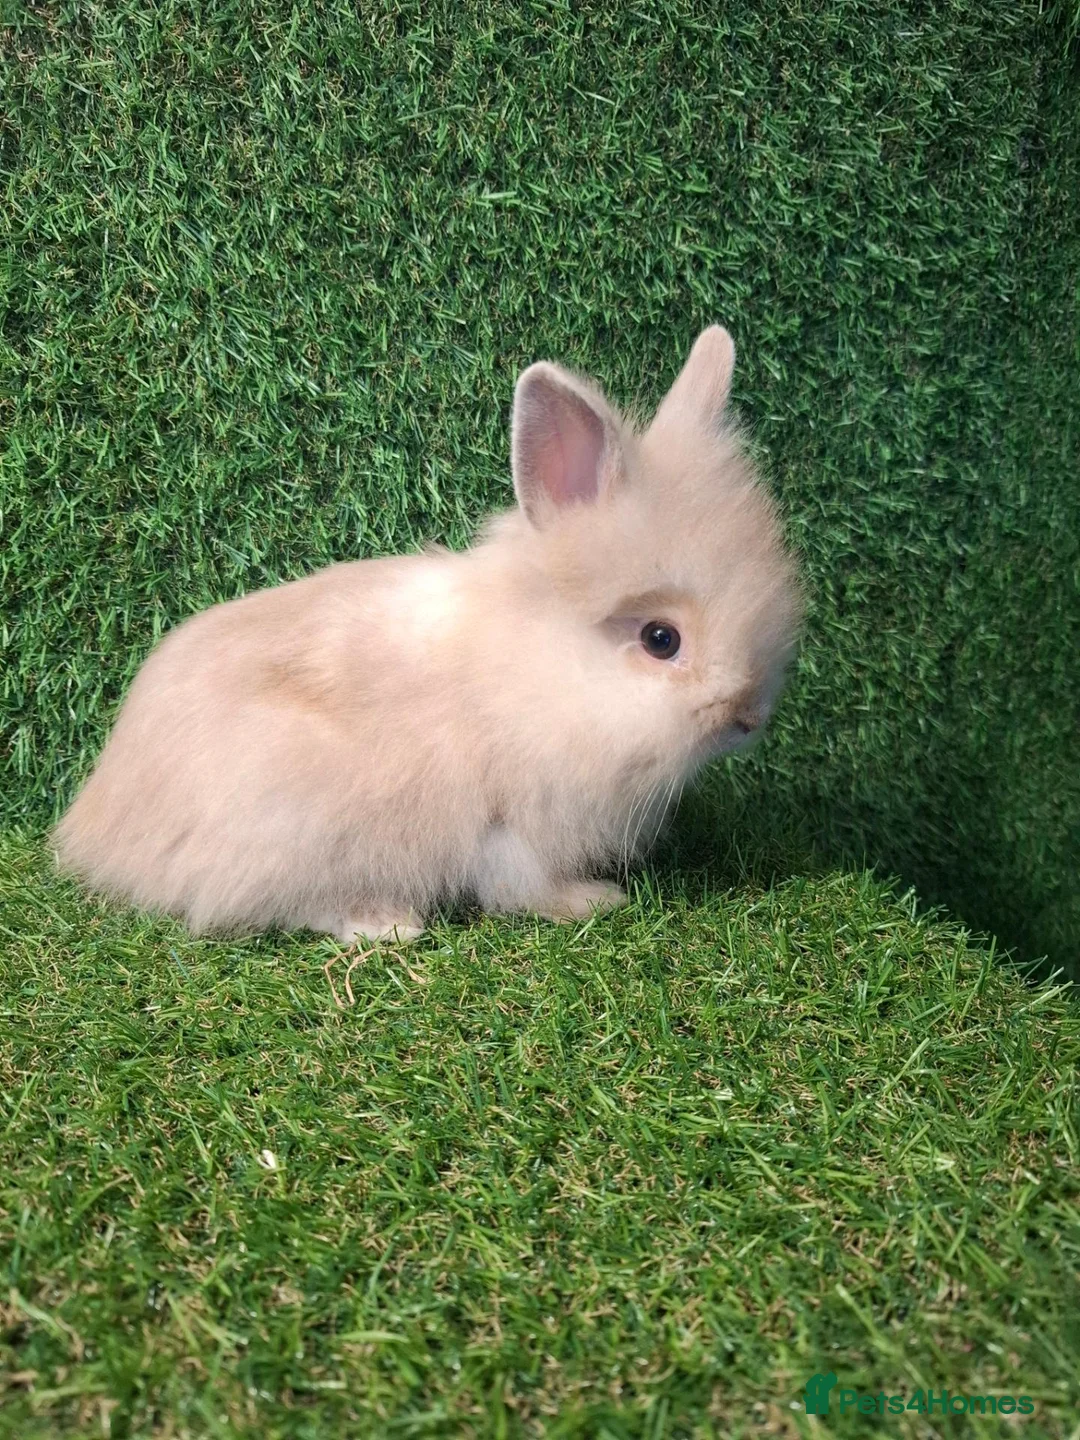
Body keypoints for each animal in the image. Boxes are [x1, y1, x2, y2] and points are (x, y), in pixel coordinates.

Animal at [53, 326, 802, 944]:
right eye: (660, 639)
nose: (748, 719)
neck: (540, 670)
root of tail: (96, 827)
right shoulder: (512, 824)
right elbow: (526, 883)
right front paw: (593, 901)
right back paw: (386, 924)